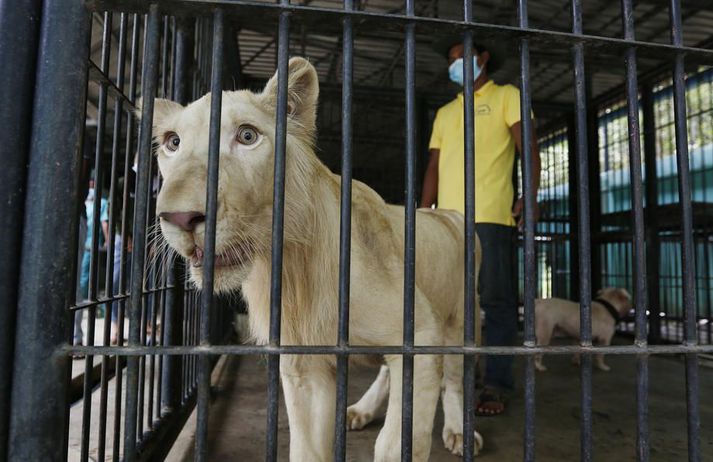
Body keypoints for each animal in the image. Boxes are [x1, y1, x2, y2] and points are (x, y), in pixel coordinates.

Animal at [145, 56, 484, 458]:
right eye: (173, 143)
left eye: (247, 136)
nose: (180, 217)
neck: (290, 264)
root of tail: (450, 214)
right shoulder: (303, 364)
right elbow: (307, 449)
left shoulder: (421, 337)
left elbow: (397, 443)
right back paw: (361, 410)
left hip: (461, 320)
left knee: (456, 377)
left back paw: (460, 432)